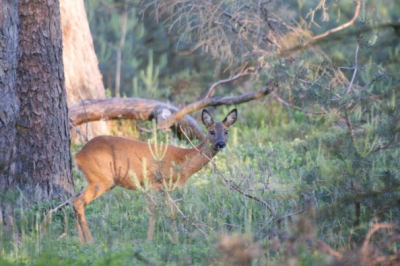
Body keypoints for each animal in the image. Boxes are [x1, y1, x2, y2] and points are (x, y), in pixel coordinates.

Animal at [73, 107, 236, 243]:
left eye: (226, 131)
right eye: (211, 131)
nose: (221, 143)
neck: (182, 161)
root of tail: (78, 156)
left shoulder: (167, 189)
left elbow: (171, 212)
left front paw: (176, 241)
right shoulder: (153, 183)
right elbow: (153, 212)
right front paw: (150, 241)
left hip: (96, 180)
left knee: (75, 200)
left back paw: (81, 242)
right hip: (101, 179)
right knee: (79, 202)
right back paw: (91, 242)